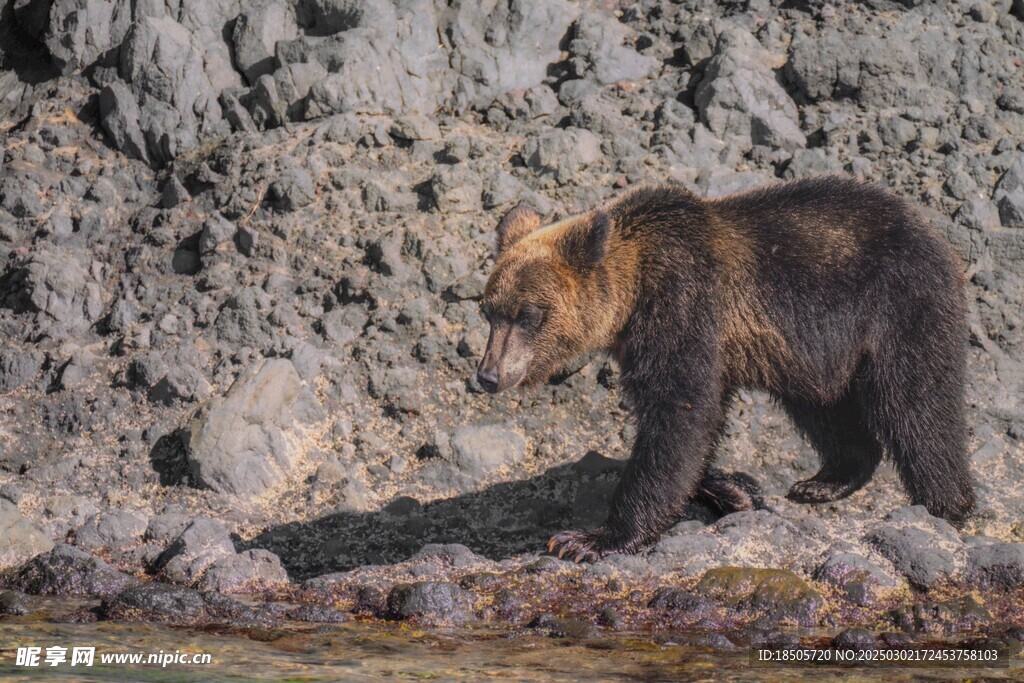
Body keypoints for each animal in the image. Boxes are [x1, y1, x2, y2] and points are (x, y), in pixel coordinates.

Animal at [475, 175, 970, 561]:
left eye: (528, 314)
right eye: (488, 311)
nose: (488, 375)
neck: (634, 292)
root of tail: (927, 226)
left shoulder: (685, 305)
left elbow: (680, 414)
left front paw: (589, 539)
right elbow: (693, 431)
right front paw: (733, 490)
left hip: (898, 302)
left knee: (917, 403)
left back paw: (946, 505)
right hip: (807, 354)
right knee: (824, 408)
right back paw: (825, 481)